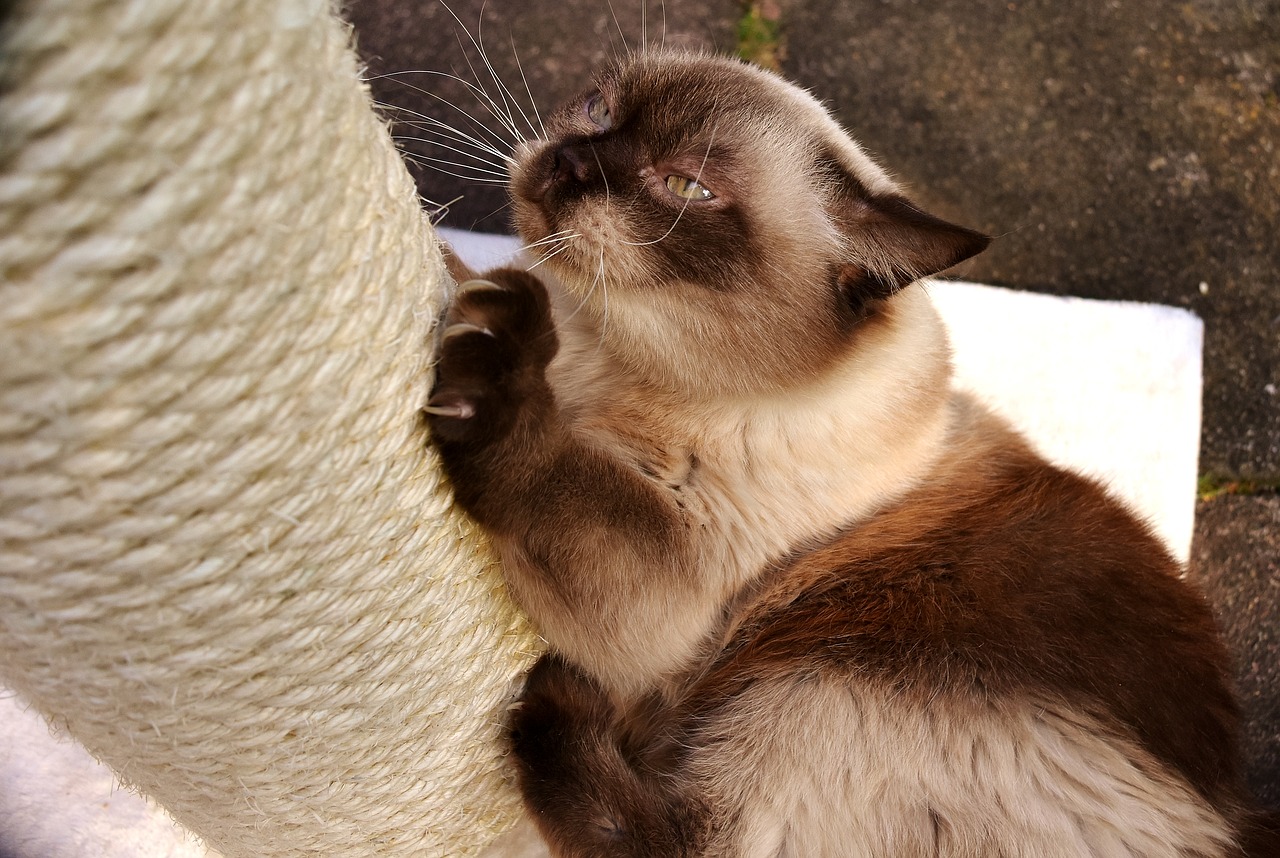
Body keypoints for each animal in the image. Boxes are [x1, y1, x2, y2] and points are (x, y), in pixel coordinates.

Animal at [422, 48, 1280, 858]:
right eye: (598, 110)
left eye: (686, 188)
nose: (566, 161)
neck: (599, 354)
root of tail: (1228, 826)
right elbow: (464, 279)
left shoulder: (668, 585)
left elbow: (561, 473)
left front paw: (497, 358)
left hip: (817, 684)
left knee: (687, 839)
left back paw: (556, 701)